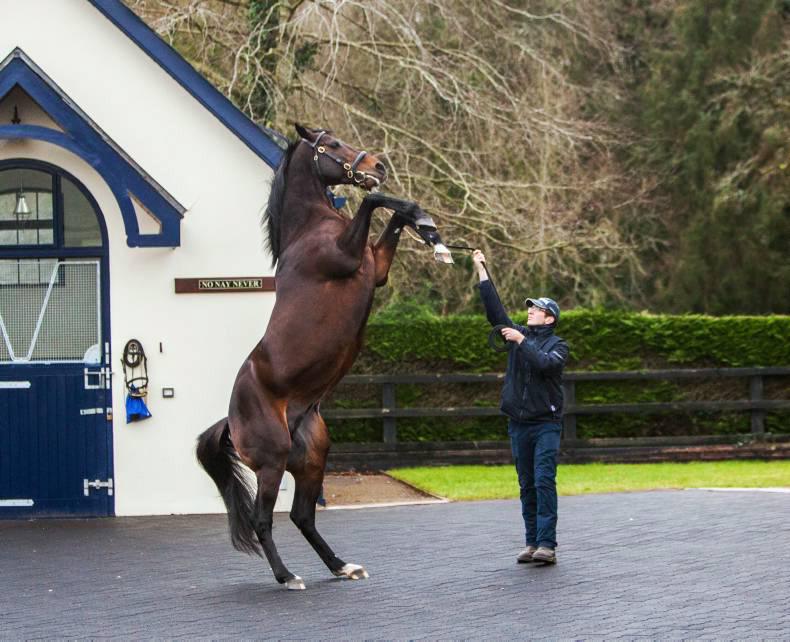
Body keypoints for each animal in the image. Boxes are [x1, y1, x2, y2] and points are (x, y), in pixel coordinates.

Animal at [196, 124, 452, 590]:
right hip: (271, 462)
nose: (377, 166)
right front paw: (425, 223)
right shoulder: (349, 257)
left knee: (303, 516)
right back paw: (287, 577)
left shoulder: (375, 266)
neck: (311, 231)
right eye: (331, 145)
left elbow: (392, 218)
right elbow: (375, 202)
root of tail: (230, 420)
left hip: (312, 456)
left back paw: (342, 566)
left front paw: (432, 235)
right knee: (264, 520)